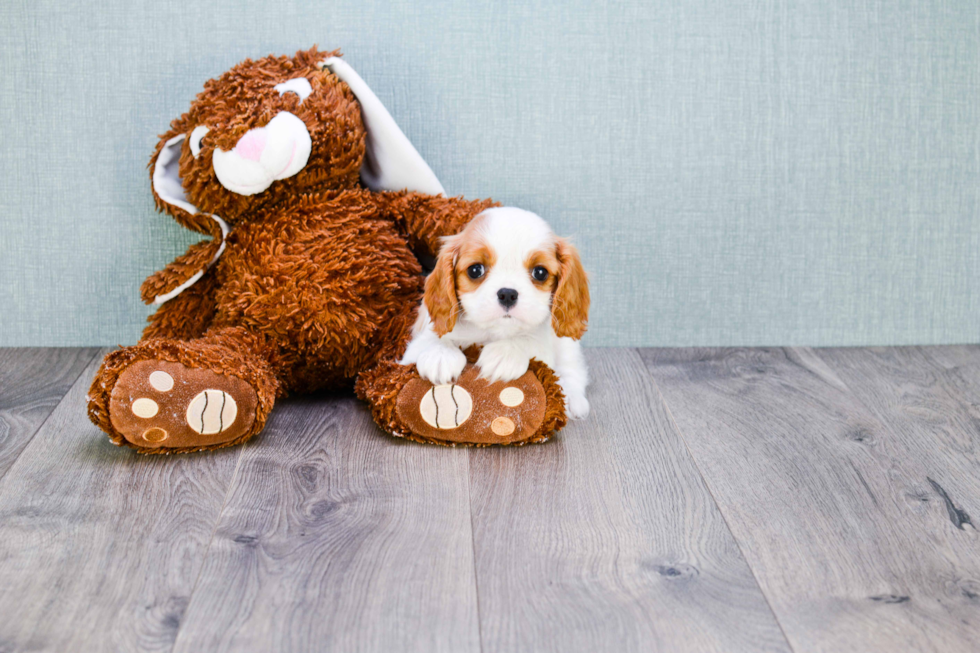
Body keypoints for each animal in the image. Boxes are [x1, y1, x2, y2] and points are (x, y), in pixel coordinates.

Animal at [398, 208, 588, 418]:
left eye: (540, 272)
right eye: (475, 270)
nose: (507, 294)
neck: (492, 331)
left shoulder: (545, 345)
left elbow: (530, 340)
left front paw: (504, 354)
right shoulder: (414, 346)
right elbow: (433, 338)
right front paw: (440, 354)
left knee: (573, 369)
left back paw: (572, 399)